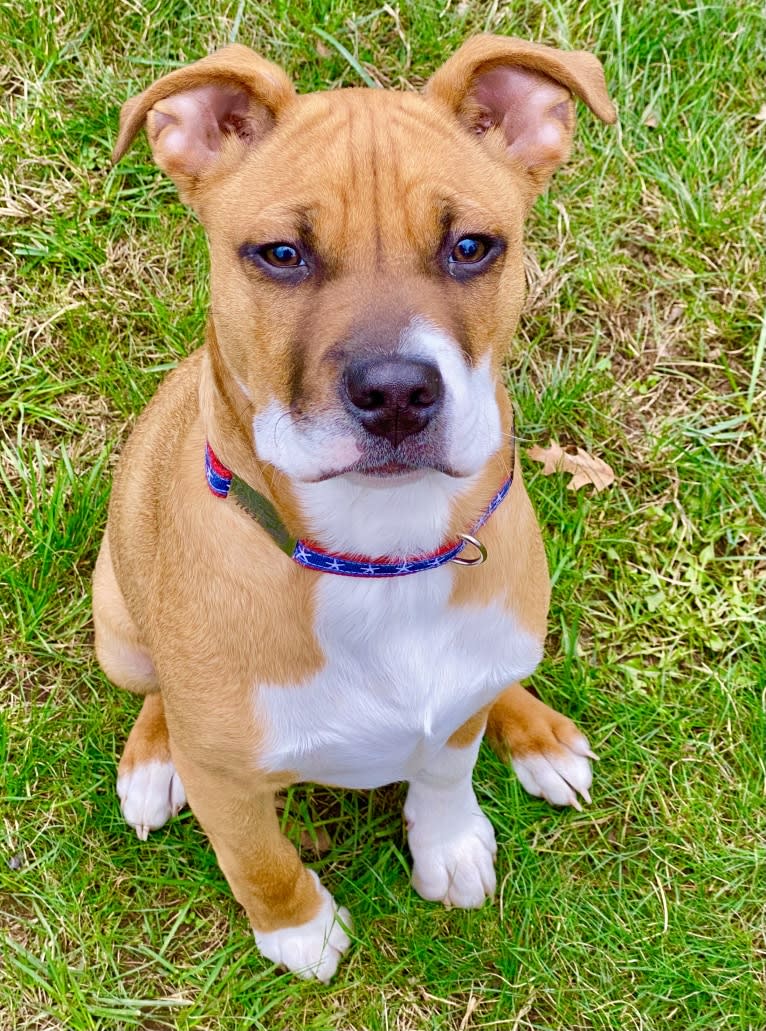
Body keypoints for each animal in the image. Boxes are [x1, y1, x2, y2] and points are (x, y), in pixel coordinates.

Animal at [91, 34, 618, 981]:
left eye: (473, 246)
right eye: (279, 255)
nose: (398, 392)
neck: (380, 553)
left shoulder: (453, 710)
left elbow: (446, 767)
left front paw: (449, 842)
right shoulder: (228, 781)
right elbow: (257, 857)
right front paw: (297, 929)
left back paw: (538, 732)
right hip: (116, 623)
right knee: (152, 691)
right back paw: (152, 762)